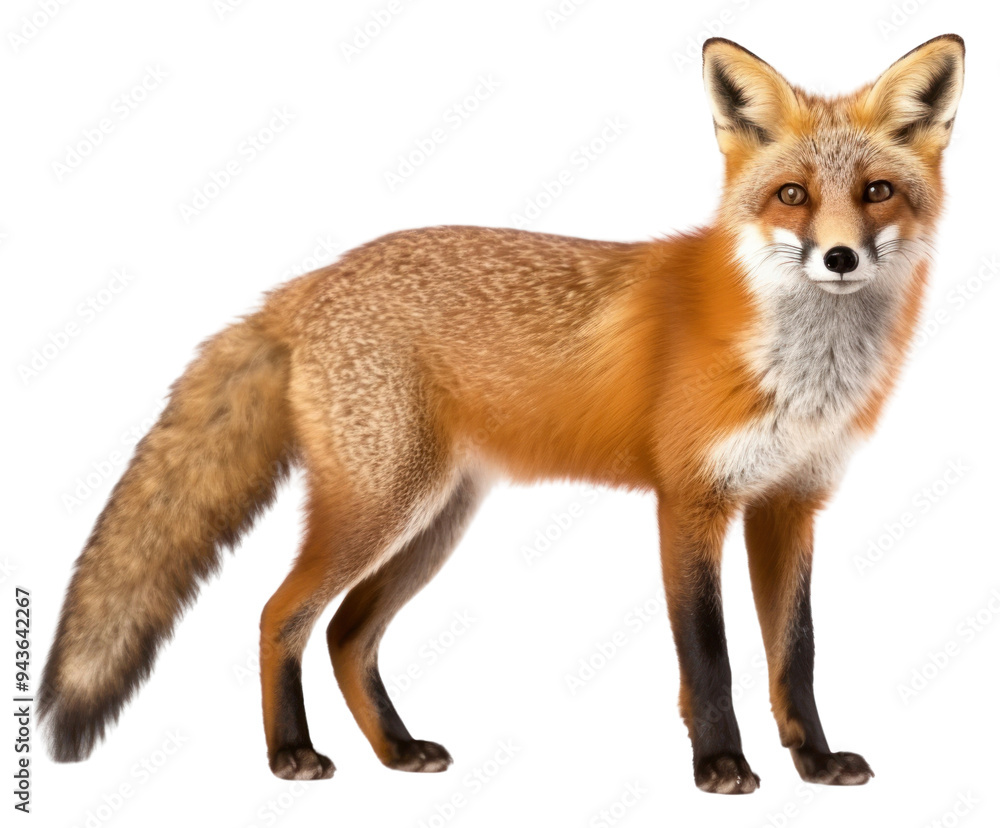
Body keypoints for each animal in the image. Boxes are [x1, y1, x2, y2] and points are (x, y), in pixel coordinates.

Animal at [40, 34, 965, 794]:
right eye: (792, 195)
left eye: (878, 191)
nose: (838, 257)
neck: (799, 367)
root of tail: (306, 283)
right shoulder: (690, 502)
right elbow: (710, 657)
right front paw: (720, 766)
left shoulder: (790, 502)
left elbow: (794, 654)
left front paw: (814, 761)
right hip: (382, 505)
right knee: (281, 615)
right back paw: (289, 755)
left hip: (436, 520)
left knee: (346, 633)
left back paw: (398, 751)